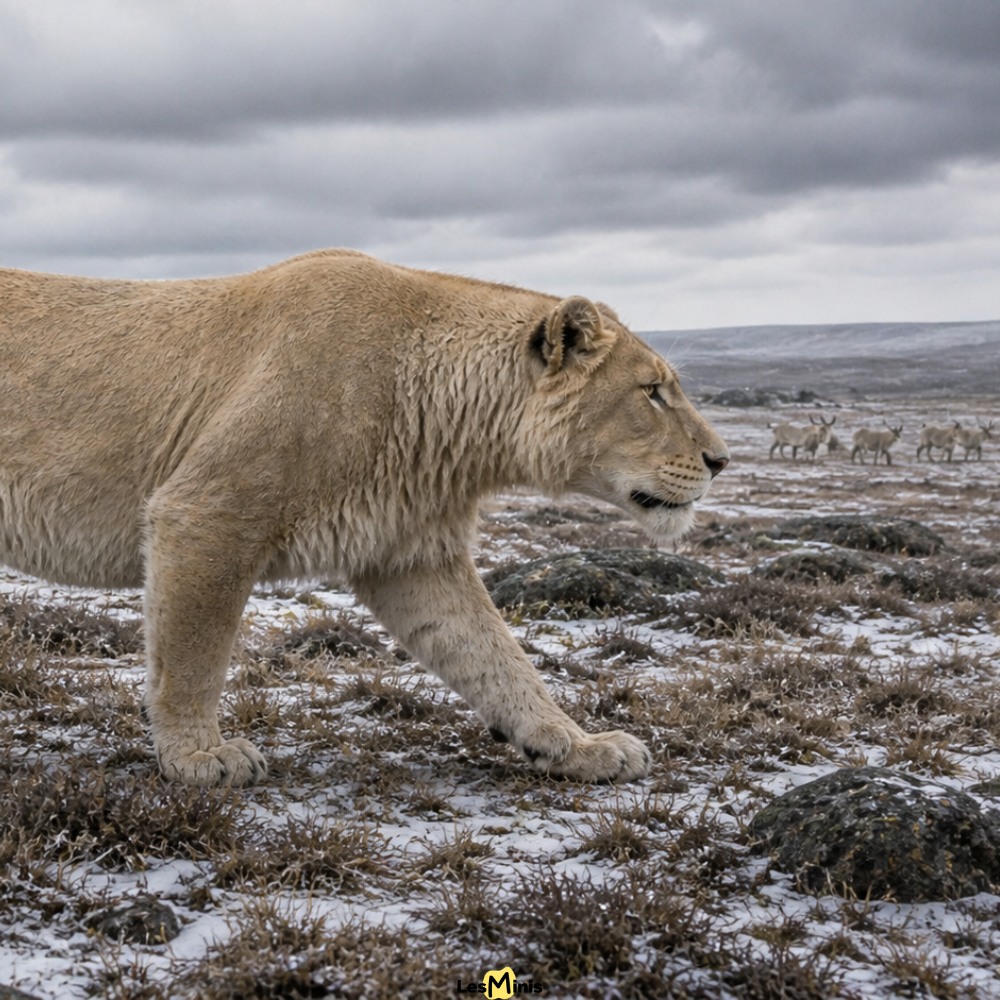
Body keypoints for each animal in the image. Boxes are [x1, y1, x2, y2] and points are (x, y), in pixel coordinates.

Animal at [0, 249, 729, 786]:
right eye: (653, 392)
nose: (720, 460)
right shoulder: (206, 511)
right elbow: (193, 653)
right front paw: (200, 758)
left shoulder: (411, 554)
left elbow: (495, 657)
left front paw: (576, 746)